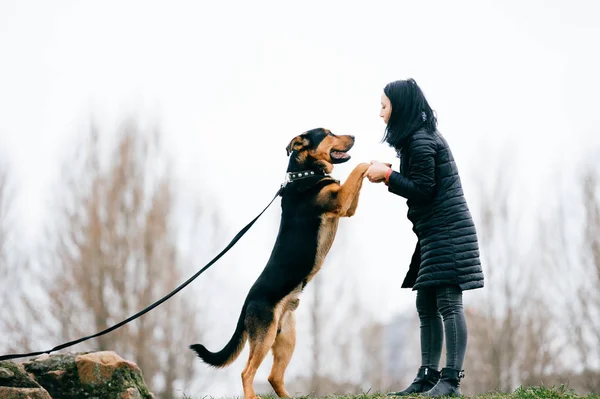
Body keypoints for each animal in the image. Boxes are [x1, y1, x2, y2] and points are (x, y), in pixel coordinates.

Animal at [190, 129, 372, 399]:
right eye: (328, 133)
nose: (354, 136)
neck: (304, 174)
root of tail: (247, 302)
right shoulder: (338, 201)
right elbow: (356, 170)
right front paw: (374, 163)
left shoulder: (346, 206)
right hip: (264, 337)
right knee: (247, 373)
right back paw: (252, 396)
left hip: (286, 338)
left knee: (273, 376)